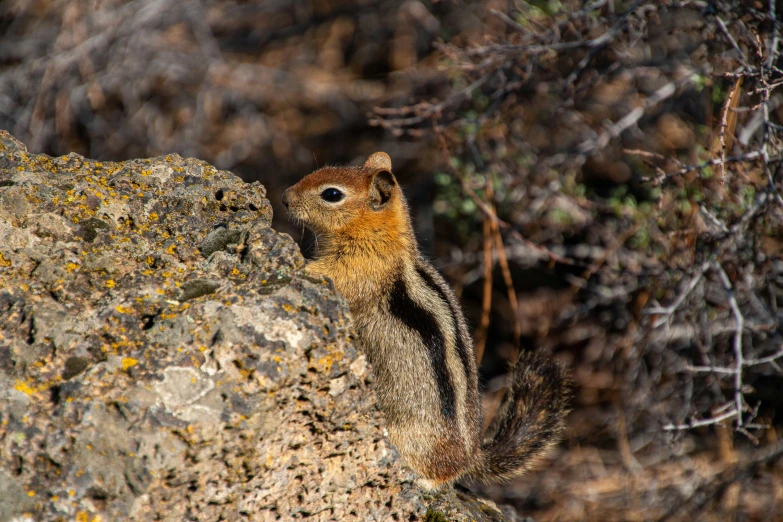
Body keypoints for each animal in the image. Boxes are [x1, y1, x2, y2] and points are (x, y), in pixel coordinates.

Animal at [282, 152, 568, 486]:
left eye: (331, 194)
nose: (285, 198)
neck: (379, 235)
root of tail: (471, 456)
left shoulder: (360, 268)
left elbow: (331, 276)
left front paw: (300, 264)